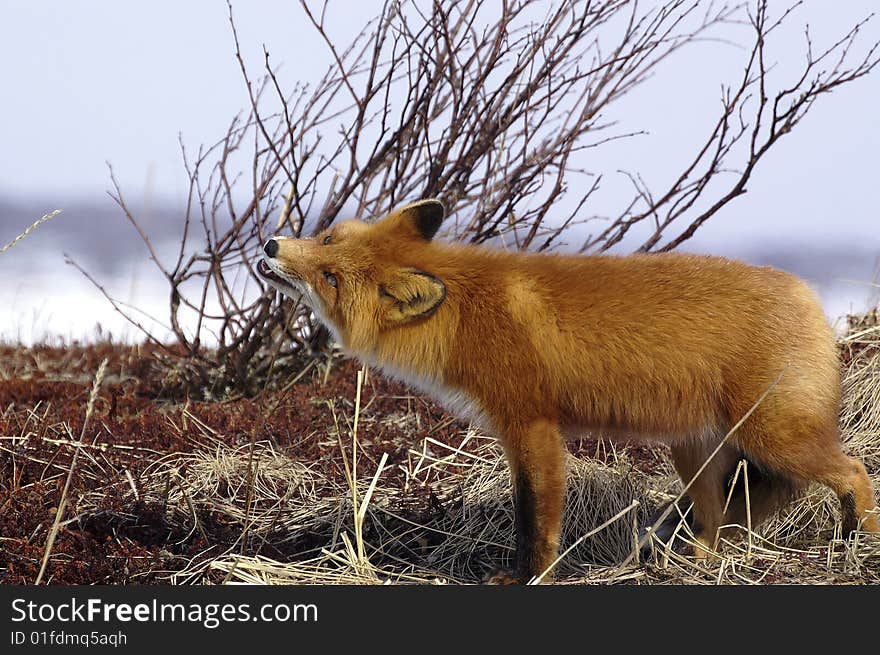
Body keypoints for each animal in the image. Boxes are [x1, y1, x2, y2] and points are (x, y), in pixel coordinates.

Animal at [258, 200, 880, 584]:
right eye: (325, 238)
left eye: (331, 277)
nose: (269, 246)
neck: (465, 312)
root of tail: (810, 298)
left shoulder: (531, 425)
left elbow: (536, 515)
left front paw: (528, 576)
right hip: (696, 453)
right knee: (714, 523)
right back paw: (690, 567)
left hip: (772, 437)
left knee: (853, 472)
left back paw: (856, 544)